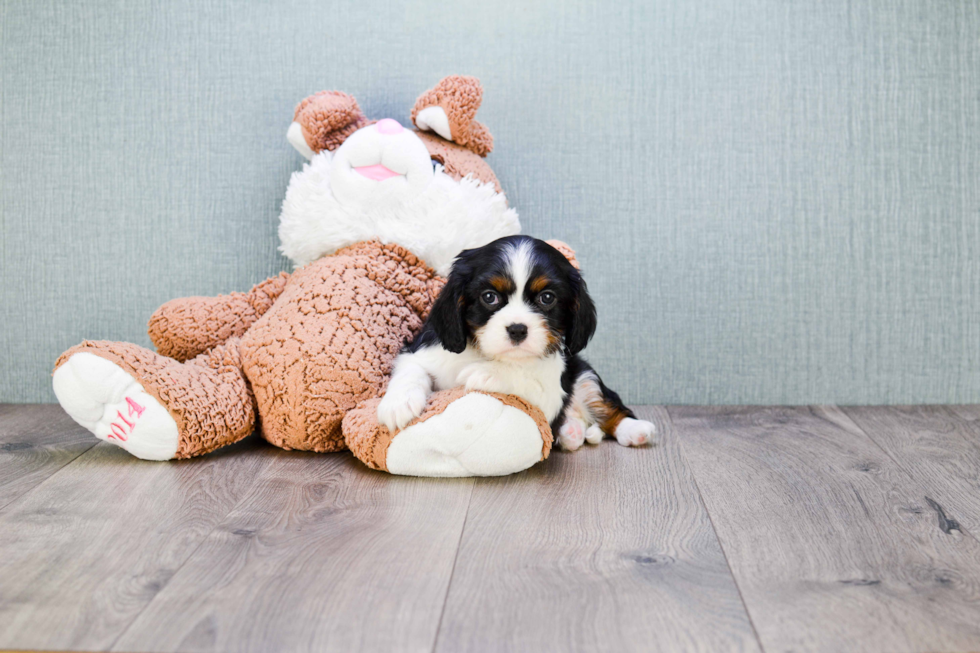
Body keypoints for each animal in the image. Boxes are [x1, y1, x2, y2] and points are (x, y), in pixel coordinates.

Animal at [378, 237, 656, 450]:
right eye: (489, 297)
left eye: (547, 298)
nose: (517, 329)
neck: (488, 353)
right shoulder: (421, 352)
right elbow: (411, 370)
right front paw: (398, 403)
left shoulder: (550, 391)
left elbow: (525, 377)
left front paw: (487, 372)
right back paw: (571, 433)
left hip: (585, 375)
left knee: (609, 407)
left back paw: (635, 429)